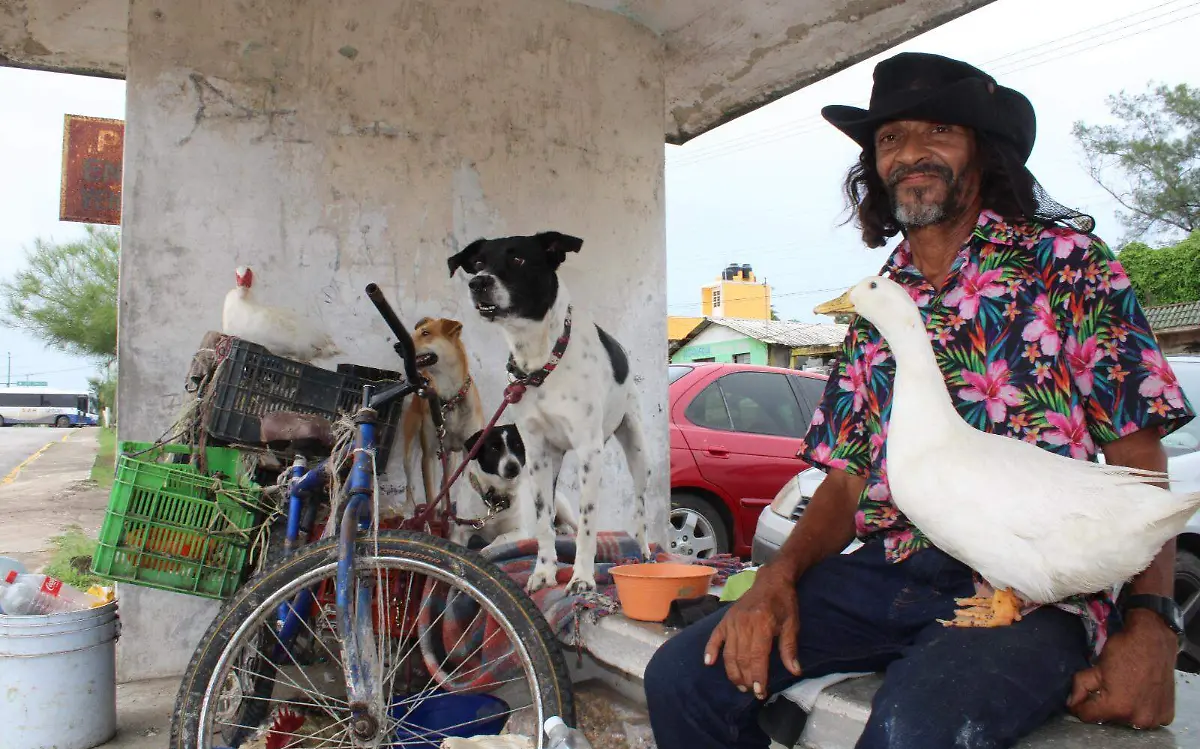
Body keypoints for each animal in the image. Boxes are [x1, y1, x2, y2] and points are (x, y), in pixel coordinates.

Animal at [398, 312, 482, 511]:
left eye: (425, 333)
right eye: (412, 334)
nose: (397, 346)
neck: (450, 399)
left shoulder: (467, 455)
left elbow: (452, 490)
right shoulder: (428, 455)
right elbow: (431, 496)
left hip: (450, 458)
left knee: (446, 485)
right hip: (410, 449)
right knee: (409, 483)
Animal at [453, 424, 576, 552]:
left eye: (518, 445)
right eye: (494, 448)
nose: (513, 466)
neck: (496, 498)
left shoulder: (521, 532)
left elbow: (501, 538)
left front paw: (486, 550)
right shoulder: (462, 530)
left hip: (563, 508)